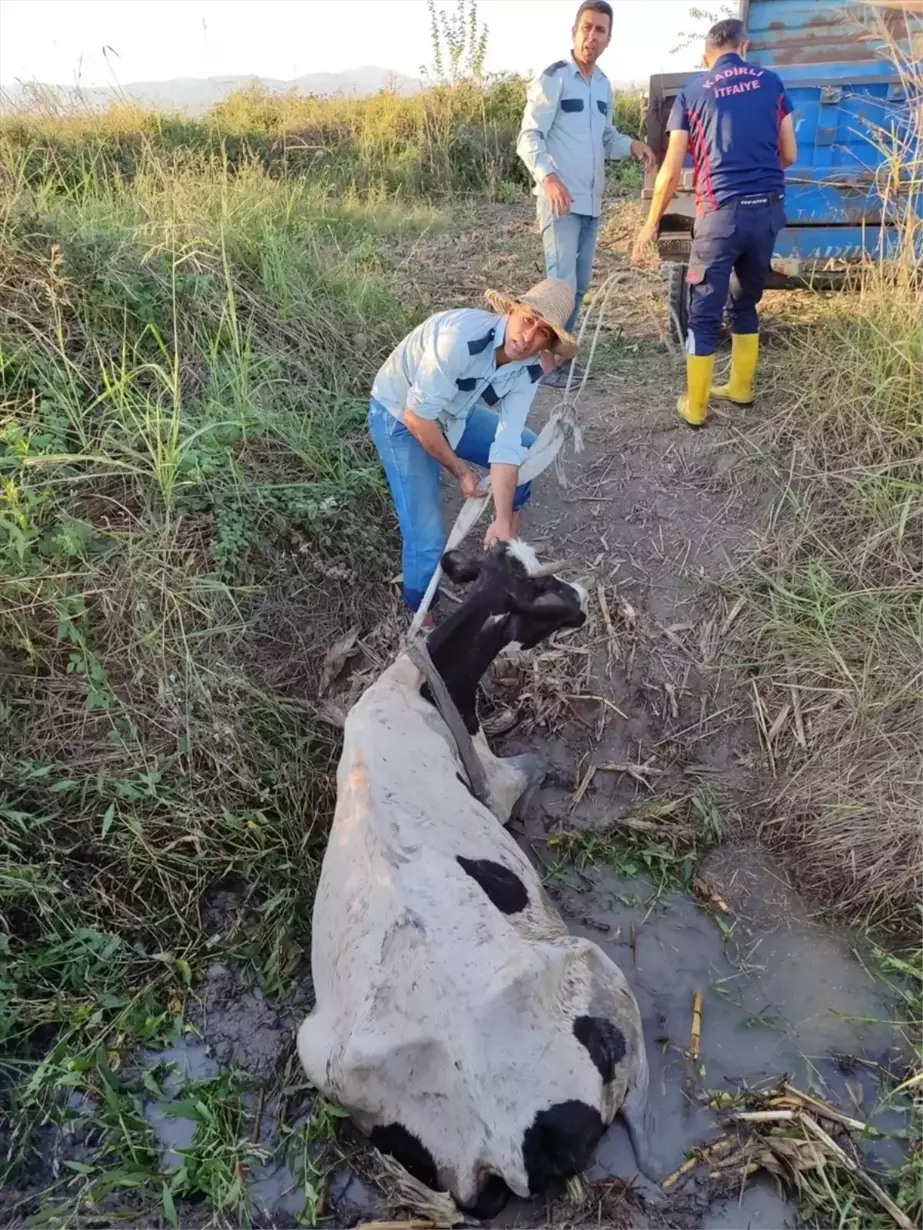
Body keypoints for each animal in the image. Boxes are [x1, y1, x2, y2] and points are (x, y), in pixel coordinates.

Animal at [300, 546, 654, 1220]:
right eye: (541, 587)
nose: (581, 598)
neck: (419, 693)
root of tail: (499, 1145)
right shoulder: (499, 782)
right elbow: (527, 771)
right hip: (592, 963)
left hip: (318, 1053)